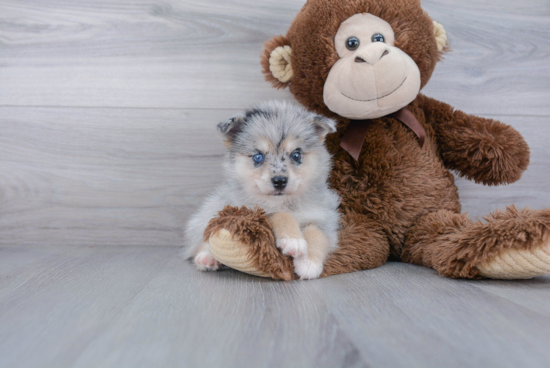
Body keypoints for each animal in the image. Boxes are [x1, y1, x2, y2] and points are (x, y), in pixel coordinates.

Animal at [184, 100, 340, 278]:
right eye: (258, 156)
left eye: (296, 155)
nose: (279, 181)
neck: (285, 203)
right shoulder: (252, 213)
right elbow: (282, 215)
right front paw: (293, 240)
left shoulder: (324, 218)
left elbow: (317, 234)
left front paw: (309, 262)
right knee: (202, 239)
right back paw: (207, 258)